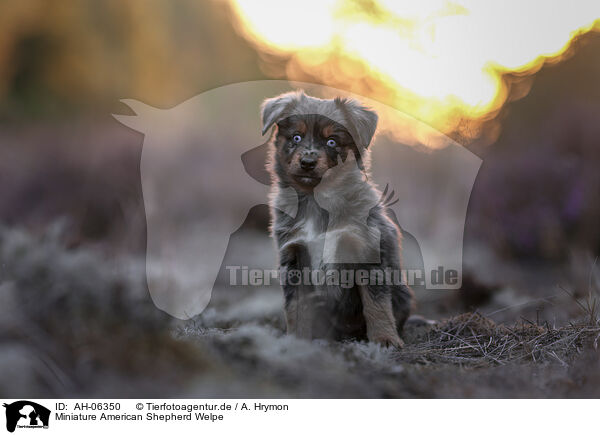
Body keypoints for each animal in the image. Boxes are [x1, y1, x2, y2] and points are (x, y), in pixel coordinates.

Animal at [262, 91, 412, 348]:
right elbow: (295, 308)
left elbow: (377, 303)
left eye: (332, 141)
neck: (318, 201)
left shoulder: (368, 253)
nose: (307, 163)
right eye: (296, 137)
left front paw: (385, 339)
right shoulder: (293, 257)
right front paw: (296, 341)